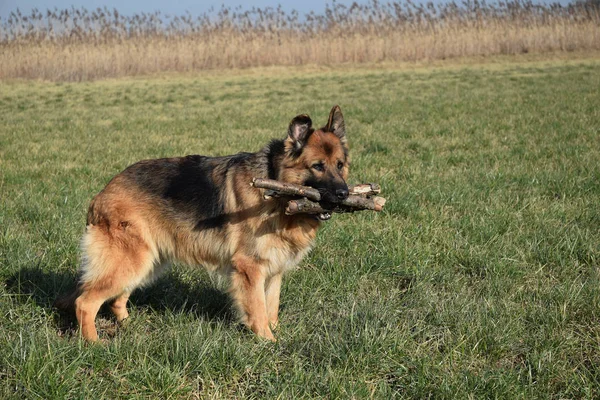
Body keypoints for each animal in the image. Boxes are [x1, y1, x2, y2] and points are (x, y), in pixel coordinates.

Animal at [56, 105, 350, 340]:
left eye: (340, 165)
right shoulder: (250, 269)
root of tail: (101, 194)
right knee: (85, 302)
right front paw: (268, 342)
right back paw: (93, 343)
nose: (344, 194)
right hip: (131, 260)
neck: (275, 184)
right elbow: (257, 310)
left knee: (116, 299)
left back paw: (128, 325)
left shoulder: (274, 270)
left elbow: (271, 307)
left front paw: (274, 332)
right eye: (317, 166)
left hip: (148, 261)